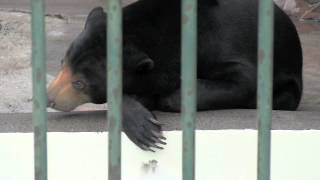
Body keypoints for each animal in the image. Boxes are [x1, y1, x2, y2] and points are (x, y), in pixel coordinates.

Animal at [47, 0, 302, 151]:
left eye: (79, 83)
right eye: (62, 63)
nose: (49, 98)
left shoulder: (233, 48)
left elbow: (246, 82)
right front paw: (142, 117)